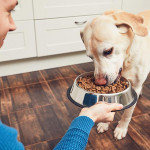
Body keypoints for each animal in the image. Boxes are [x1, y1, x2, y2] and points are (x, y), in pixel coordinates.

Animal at [81, 10, 150, 139]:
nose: (99, 83)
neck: (127, 59)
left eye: (108, 51)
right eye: (90, 57)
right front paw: (104, 123)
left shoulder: (136, 87)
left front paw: (121, 128)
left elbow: (128, 113)